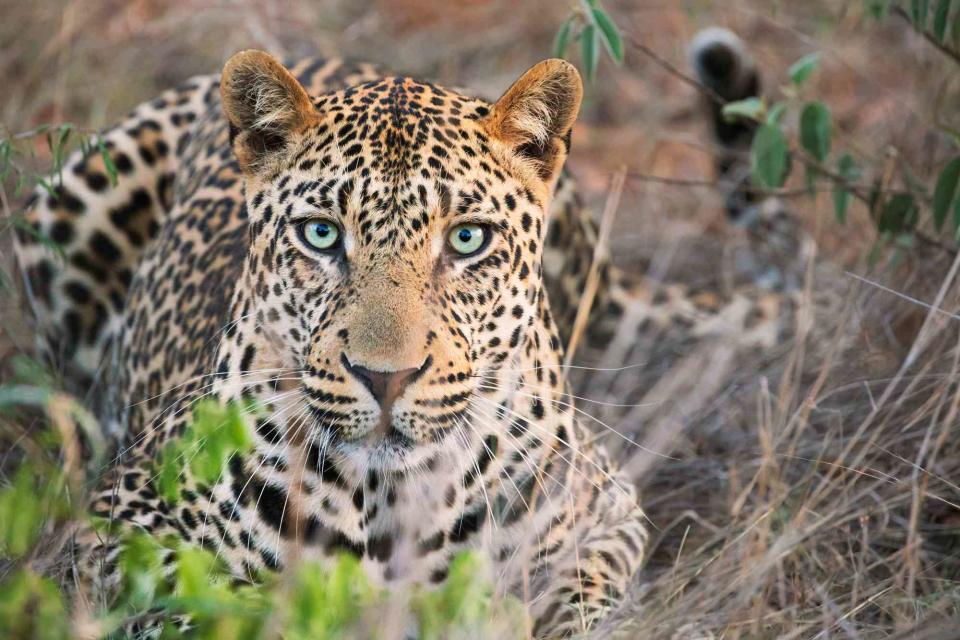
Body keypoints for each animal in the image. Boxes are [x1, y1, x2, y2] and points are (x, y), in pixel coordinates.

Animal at [15, 27, 796, 636]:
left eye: (468, 238)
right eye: (322, 234)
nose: (384, 377)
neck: (389, 501)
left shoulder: (612, 516)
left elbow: (576, 600)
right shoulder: (110, 533)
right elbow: (192, 604)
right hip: (61, 204)